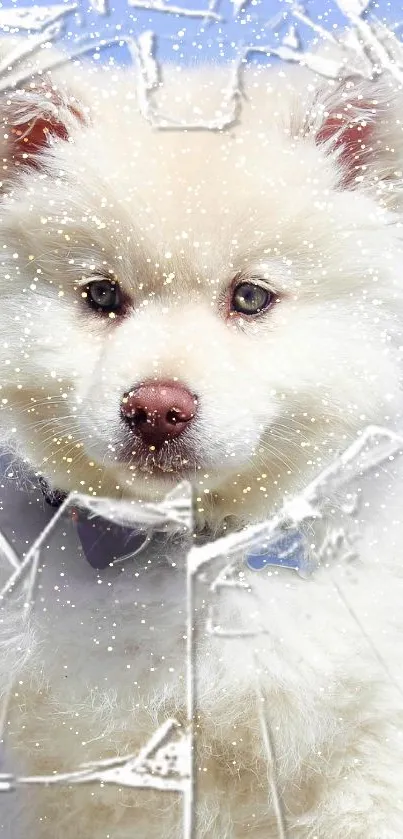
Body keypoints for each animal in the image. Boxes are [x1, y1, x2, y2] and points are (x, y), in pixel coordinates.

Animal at [0, 42, 403, 839]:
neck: (191, 561)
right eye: (101, 295)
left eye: (249, 298)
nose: (157, 409)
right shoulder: (101, 787)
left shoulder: (366, 764)